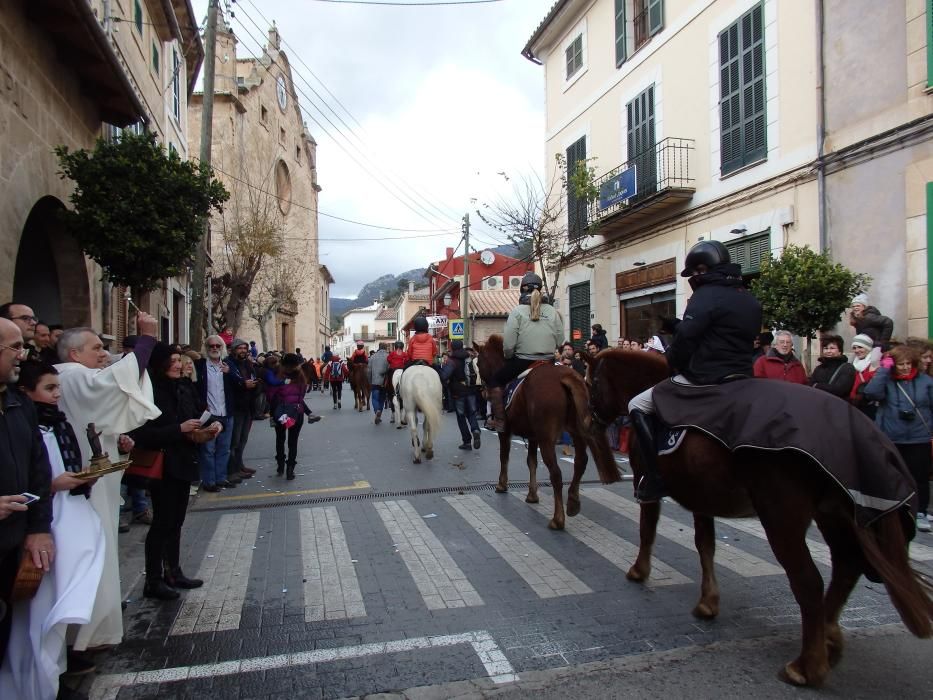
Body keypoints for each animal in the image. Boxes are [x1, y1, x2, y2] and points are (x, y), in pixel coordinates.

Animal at [476, 338, 624, 532]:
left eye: (478, 363)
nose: (483, 391)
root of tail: (565, 376)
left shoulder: (506, 432)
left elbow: (504, 457)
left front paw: (502, 485)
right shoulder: (533, 436)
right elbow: (531, 462)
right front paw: (532, 495)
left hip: (547, 438)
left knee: (556, 474)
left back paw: (558, 519)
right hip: (576, 431)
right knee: (581, 462)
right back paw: (573, 502)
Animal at [588, 348, 928, 688]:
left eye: (592, 382)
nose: (591, 420)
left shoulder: (645, 482)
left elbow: (647, 530)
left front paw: (638, 571)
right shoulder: (703, 497)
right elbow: (705, 545)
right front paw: (708, 602)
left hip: (781, 517)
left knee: (809, 581)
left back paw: (806, 666)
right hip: (834, 515)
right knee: (846, 567)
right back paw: (829, 639)